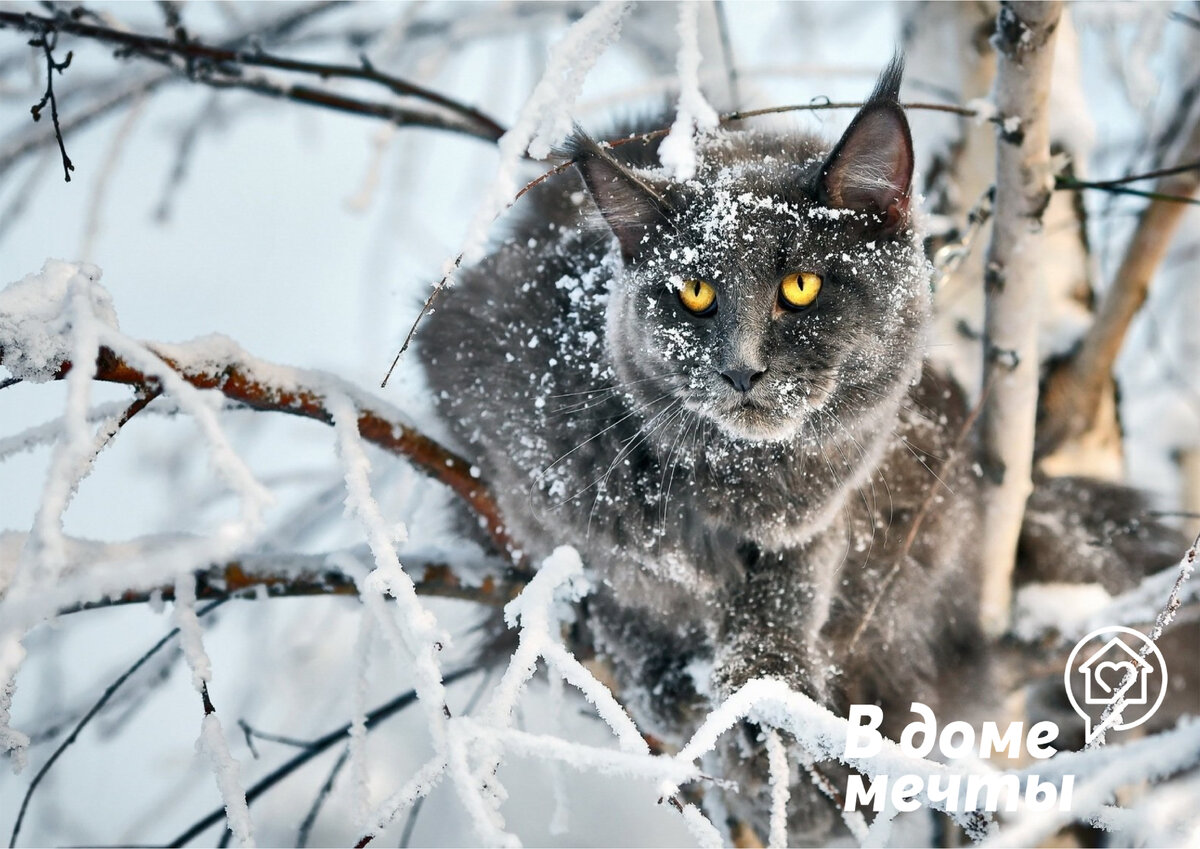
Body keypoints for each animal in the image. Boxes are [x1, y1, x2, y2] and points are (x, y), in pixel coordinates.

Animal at [417, 59, 1185, 844]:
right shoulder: (493, 426)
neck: (741, 478)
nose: (741, 369)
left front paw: (768, 681)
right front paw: (664, 673)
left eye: (801, 286)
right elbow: (608, 577)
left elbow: (787, 591)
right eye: (694, 293)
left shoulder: (825, 513)